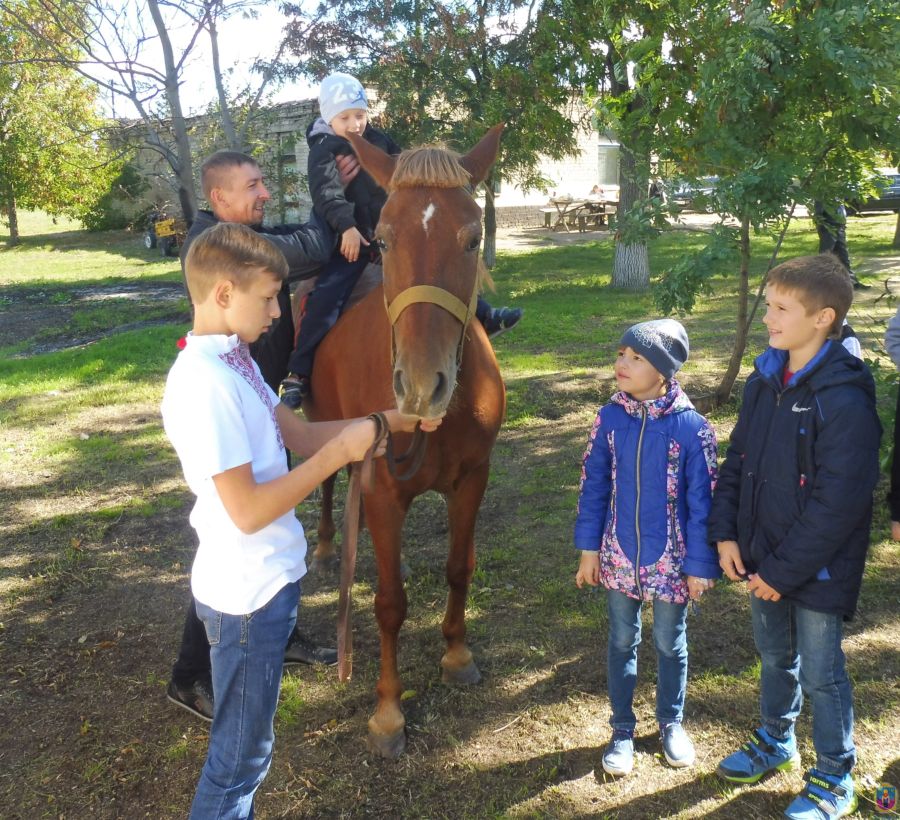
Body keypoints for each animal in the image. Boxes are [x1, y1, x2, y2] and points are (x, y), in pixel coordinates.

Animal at [304, 125, 506, 760]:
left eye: (472, 239)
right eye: (384, 240)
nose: (421, 386)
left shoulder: (472, 479)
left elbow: (459, 568)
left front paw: (457, 656)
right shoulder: (385, 493)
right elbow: (390, 604)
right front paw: (388, 711)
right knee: (326, 487)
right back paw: (326, 546)